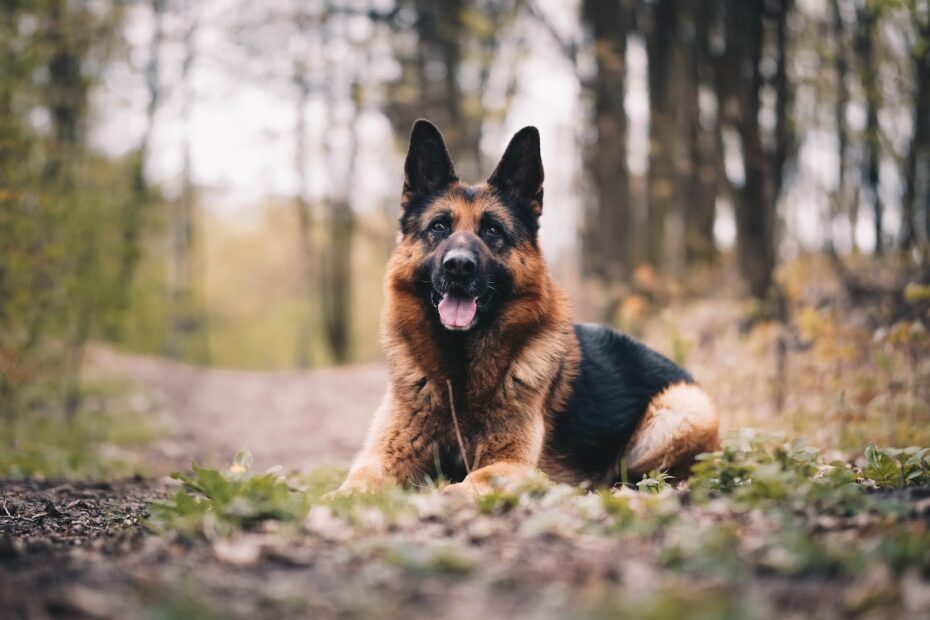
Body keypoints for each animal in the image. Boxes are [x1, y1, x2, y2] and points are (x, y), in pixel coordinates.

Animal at [334, 120, 716, 498]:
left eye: (492, 230)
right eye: (439, 226)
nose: (459, 266)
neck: (459, 374)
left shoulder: (511, 463)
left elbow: (469, 482)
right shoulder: (383, 456)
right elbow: (355, 483)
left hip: (676, 411)